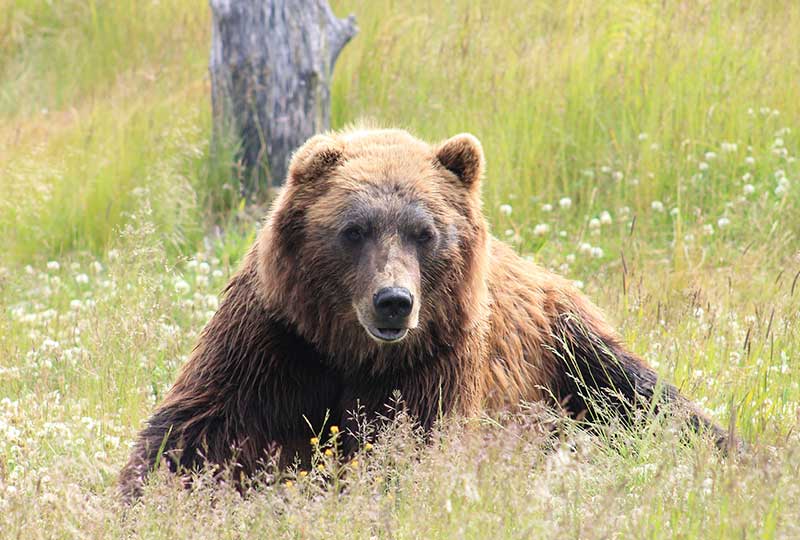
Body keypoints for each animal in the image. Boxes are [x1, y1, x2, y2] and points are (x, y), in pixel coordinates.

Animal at [119, 129, 736, 500]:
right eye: (353, 229)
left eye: (425, 232)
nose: (393, 300)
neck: (352, 353)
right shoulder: (277, 341)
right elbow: (196, 431)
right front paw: (146, 495)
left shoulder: (435, 361)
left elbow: (409, 448)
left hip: (568, 345)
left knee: (645, 398)